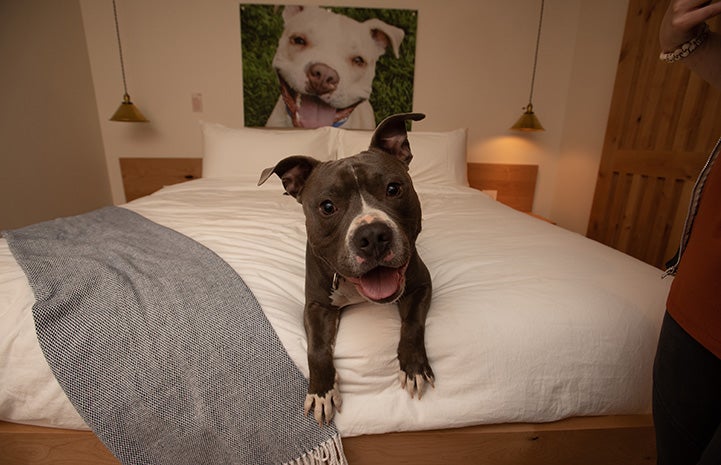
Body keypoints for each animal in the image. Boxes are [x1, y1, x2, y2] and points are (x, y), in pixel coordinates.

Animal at [258, 112, 434, 424]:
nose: (373, 235)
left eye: (393, 189)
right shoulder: (316, 305)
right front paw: (321, 391)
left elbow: (413, 324)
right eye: (327, 206)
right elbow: (316, 349)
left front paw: (413, 366)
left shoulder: (421, 285)